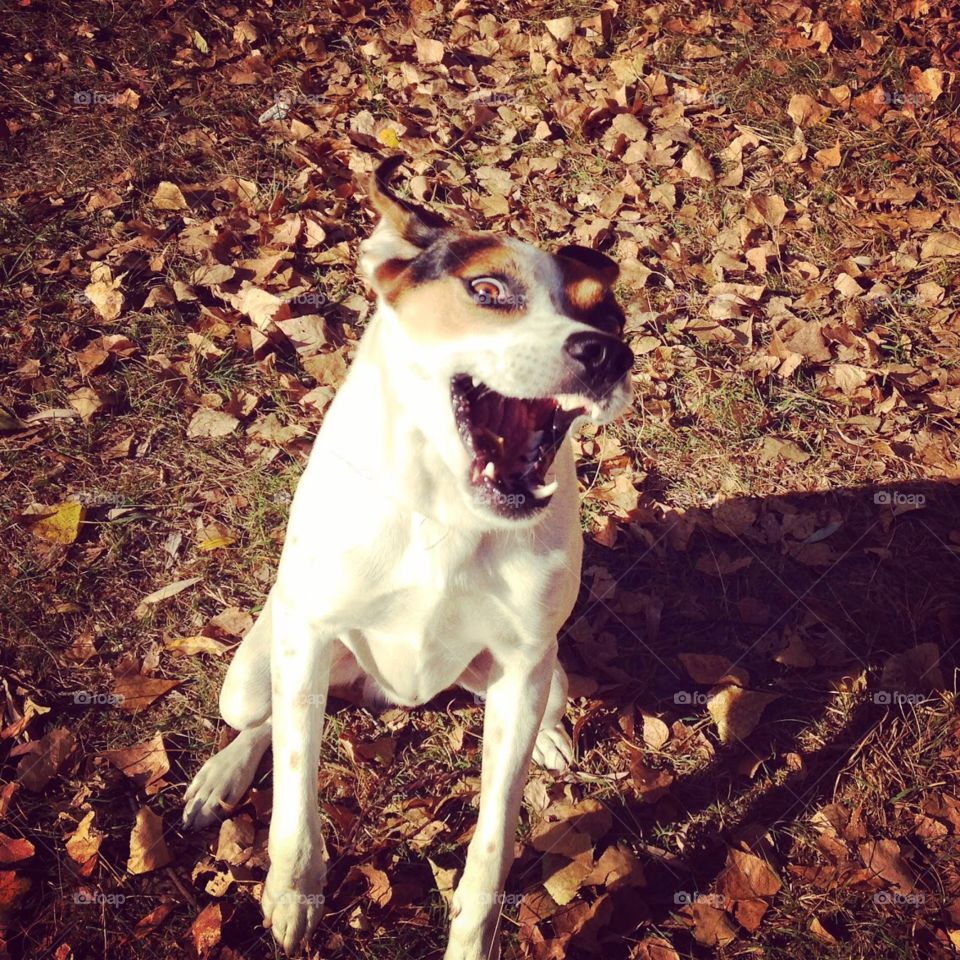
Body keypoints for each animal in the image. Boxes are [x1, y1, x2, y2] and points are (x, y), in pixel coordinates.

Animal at [183, 159, 632, 960]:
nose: (610, 352)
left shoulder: (523, 662)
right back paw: (220, 777)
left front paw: (471, 938)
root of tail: (385, 696)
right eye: (488, 289)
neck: (447, 511)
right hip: (253, 671)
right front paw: (293, 893)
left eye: (608, 316)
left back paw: (552, 737)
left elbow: (493, 843)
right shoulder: (308, 632)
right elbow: (295, 790)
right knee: (267, 720)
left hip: (540, 676)